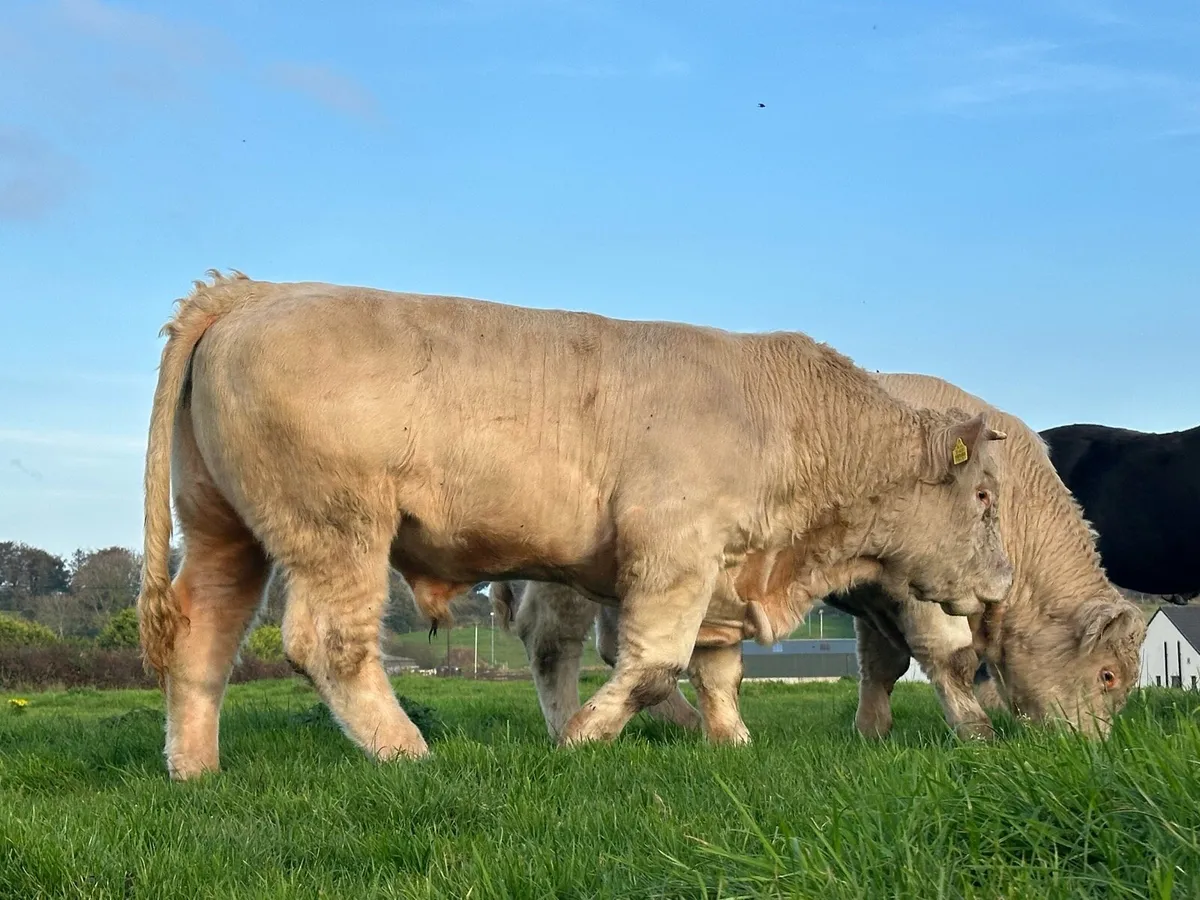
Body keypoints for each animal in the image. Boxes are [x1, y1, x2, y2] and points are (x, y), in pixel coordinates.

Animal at [136, 271, 1012, 780]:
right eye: (983, 499)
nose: (1003, 582)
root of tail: (256, 290)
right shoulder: (674, 552)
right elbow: (655, 664)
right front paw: (584, 737)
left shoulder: (722, 572)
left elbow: (717, 669)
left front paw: (729, 743)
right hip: (336, 529)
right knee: (332, 645)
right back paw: (406, 751)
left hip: (223, 526)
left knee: (203, 634)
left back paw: (196, 769)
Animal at [493, 372, 1147, 743]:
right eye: (1108, 676)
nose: (1093, 749)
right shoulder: (917, 590)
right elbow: (949, 657)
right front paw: (975, 731)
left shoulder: (878, 591)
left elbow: (883, 663)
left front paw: (872, 732)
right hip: (568, 569)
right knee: (554, 638)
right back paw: (573, 728)